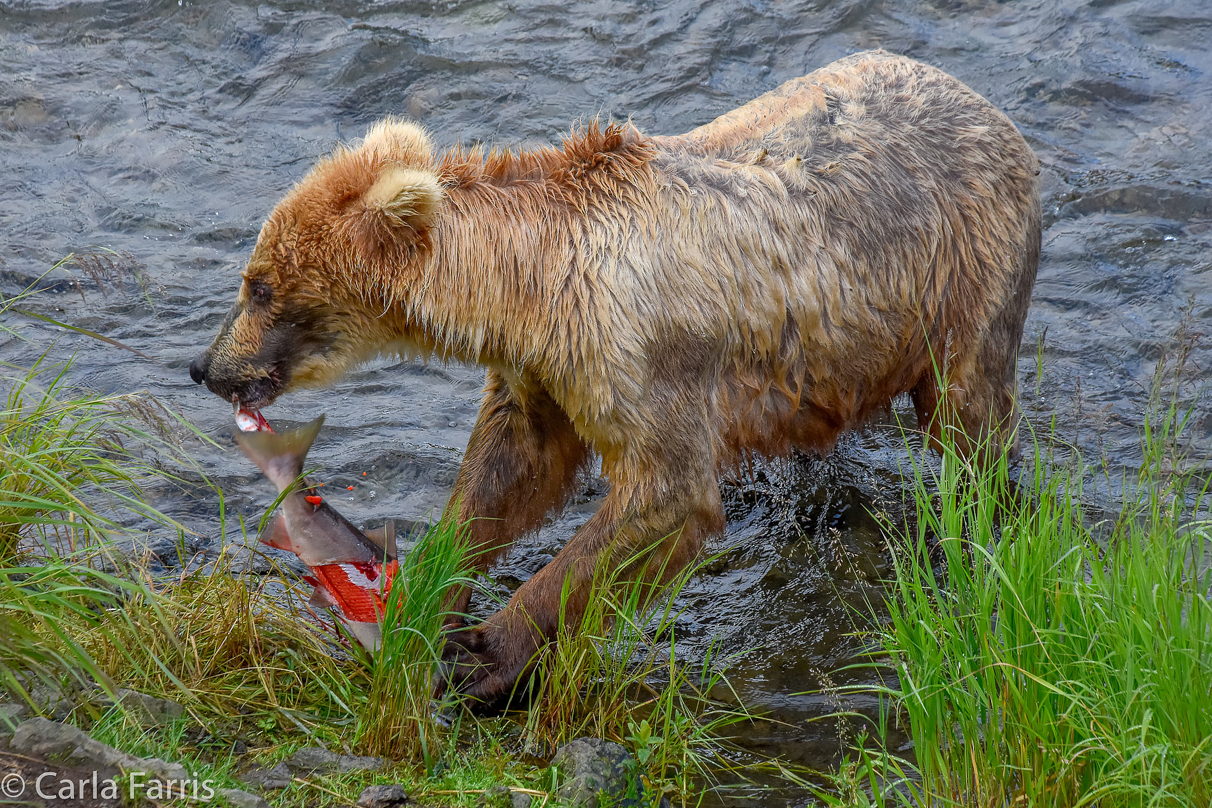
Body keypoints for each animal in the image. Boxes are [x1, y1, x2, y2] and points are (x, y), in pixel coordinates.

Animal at [189, 50, 1042, 702]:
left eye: (259, 285)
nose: (204, 366)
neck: (532, 289)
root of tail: (988, 106)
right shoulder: (542, 372)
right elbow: (506, 475)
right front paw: (426, 594)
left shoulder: (641, 353)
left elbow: (660, 497)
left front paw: (482, 654)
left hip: (962, 282)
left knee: (970, 420)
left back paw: (982, 525)